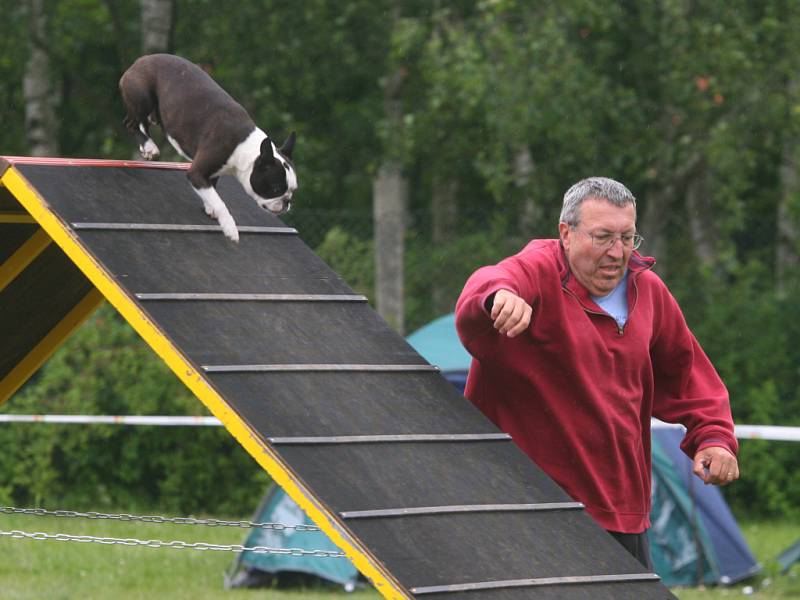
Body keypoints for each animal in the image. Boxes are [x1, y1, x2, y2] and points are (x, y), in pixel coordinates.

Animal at [122, 54, 300, 241]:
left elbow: (212, 190)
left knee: (140, 122)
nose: (287, 202)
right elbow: (219, 201)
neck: (245, 148)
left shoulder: (212, 173)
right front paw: (229, 227)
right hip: (143, 96)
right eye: (276, 188)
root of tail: (141, 60)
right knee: (132, 123)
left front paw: (210, 207)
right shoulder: (196, 172)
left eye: (292, 190)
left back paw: (146, 147)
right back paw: (149, 145)